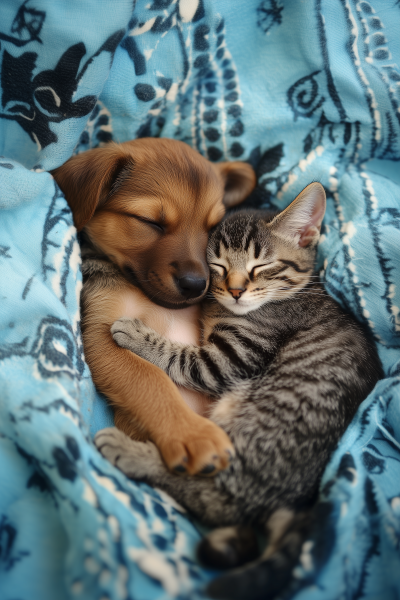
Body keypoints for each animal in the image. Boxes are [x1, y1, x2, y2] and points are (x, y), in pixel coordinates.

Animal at [52, 138, 256, 476]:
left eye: (213, 227)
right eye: (150, 222)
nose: (195, 284)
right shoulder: (99, 333)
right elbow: (149, 379)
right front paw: (194, 435)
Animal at [95, 183, 382, 600]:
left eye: (260, 267)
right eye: (217, 267)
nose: (234, 291)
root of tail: (298, 497)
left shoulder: (233, 358)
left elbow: (183, 359)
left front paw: (134, 333)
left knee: (215, 497)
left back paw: (128, 451)